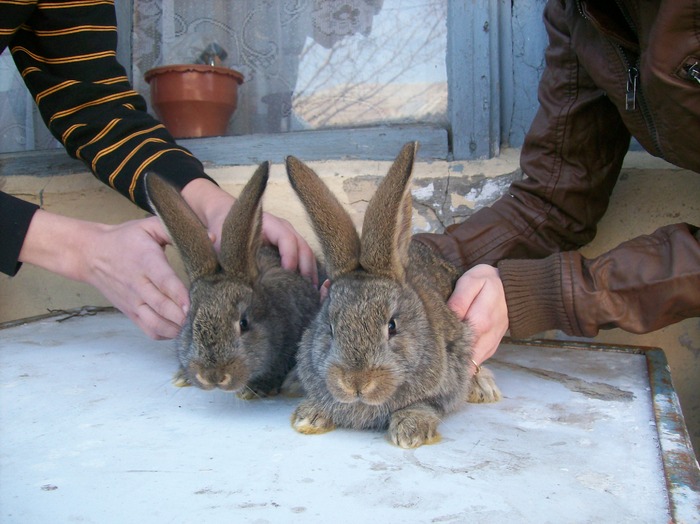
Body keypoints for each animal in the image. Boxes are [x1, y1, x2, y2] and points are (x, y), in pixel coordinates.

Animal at [284, 142, 498, 446]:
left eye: (392, 326)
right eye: (330, 328)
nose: (356, 382)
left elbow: (426, 405)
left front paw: (409, 431)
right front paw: (310, 416)